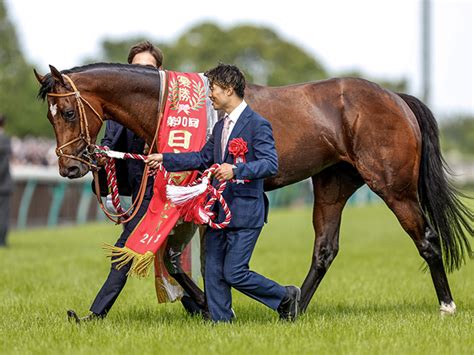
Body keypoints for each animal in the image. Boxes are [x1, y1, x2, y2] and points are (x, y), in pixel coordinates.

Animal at [33, 62, 470, 316]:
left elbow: (184, 260)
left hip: (394, 187)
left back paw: (447, 306)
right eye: (50, 116)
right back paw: (294, 308)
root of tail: (396, 97)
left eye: (68, 111)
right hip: (333, 183)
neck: (167, 106)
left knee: (427, 238)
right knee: (325, 249)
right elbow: (178, 259)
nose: (70, 167)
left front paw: (208, 304)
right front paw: (206, 305)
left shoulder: (194, 196)